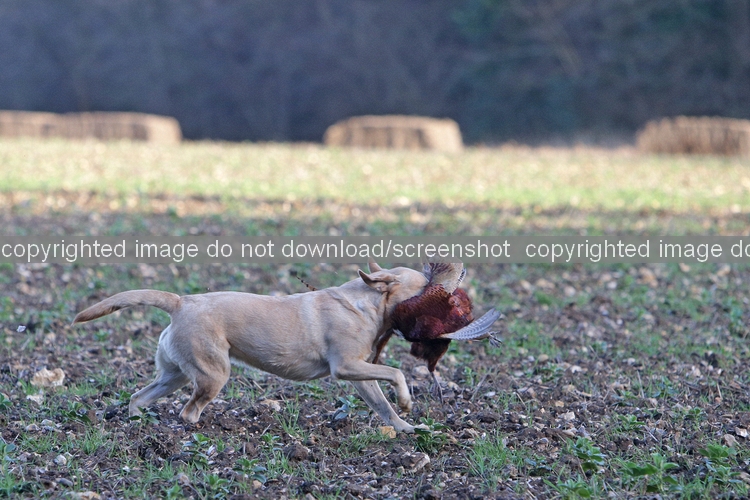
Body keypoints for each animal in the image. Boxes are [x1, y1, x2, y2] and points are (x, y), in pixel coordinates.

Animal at [72, 262, 428, 432]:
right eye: (425, 284)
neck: (367, 303)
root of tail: (180, 301)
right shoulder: (346, 367)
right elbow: (395, 372)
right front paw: (406, 401)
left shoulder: (361, 376)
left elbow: (383, 406)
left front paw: (407, 427)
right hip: (213, 374)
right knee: (188, 412)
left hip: (176, 376)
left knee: (138, 397)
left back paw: (138, 424)